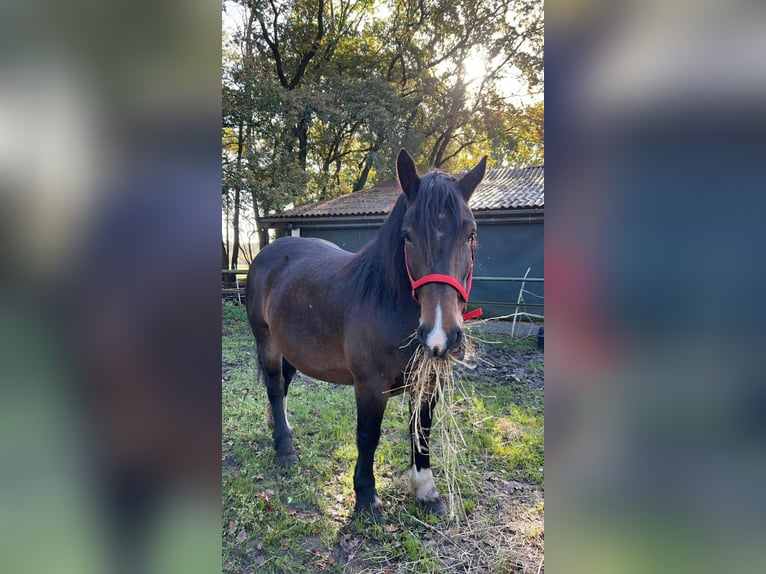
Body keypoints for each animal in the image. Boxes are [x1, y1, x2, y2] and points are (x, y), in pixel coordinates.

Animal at [245, 149, 486, 518]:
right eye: (407, 235)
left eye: (470, 233)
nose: (440, 336)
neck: (385, 301)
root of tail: (267, 253)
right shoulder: (370, 386)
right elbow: (368, 436)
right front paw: (366, 497)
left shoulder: (429, 382)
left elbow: (422, 431)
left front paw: (426, 491)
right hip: (267, 341)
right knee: (274, 386)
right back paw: (284, 449)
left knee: (283, 385)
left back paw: (278, 427)